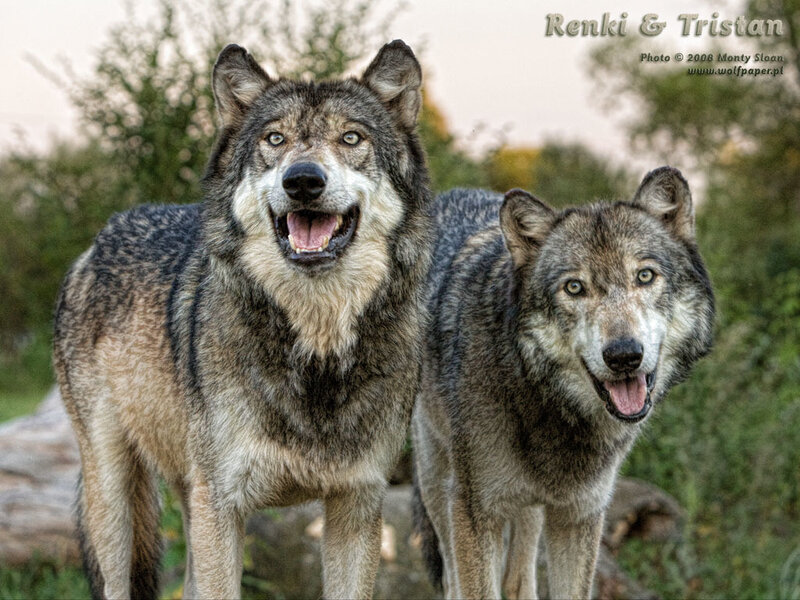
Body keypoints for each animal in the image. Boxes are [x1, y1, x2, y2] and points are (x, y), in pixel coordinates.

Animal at [52, 40, 431, 599]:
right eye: (275, 139)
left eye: (351, 138)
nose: (303, 180)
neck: (313, 348)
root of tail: (96, 242)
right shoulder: (223, 507)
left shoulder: (358, 507)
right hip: (116, 500)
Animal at [411, 168, 714, 599]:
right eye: (574, 287)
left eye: (644, 276)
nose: (624, 355)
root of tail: (450, 194)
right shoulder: (474, 512)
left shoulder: (580, 515)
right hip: (438, 482)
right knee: (453, 577)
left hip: (530, 512)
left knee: (519, 579)